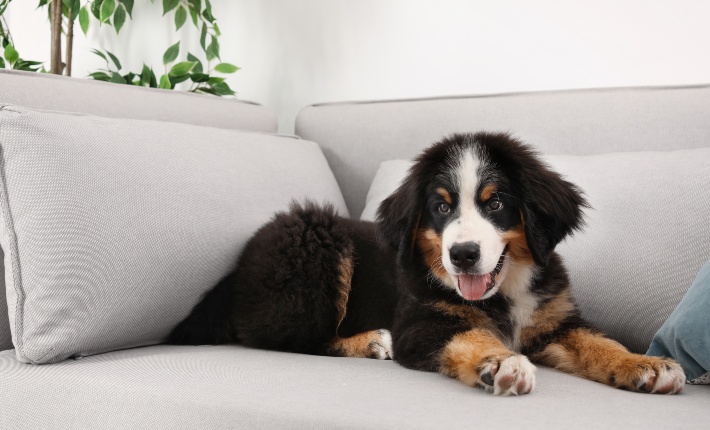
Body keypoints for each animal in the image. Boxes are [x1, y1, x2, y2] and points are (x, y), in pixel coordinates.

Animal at [170, 132, 688, 396]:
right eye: (440, 207)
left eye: (496, 202)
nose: (462, 255)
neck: (506, 292)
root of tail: (236, 269)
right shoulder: (421, 321)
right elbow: (467, 335)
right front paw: (498, 362)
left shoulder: (554, 322)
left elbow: (598, 341)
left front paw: (645, 364)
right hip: (314, 251)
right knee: (286, 339)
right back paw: (371, 342)